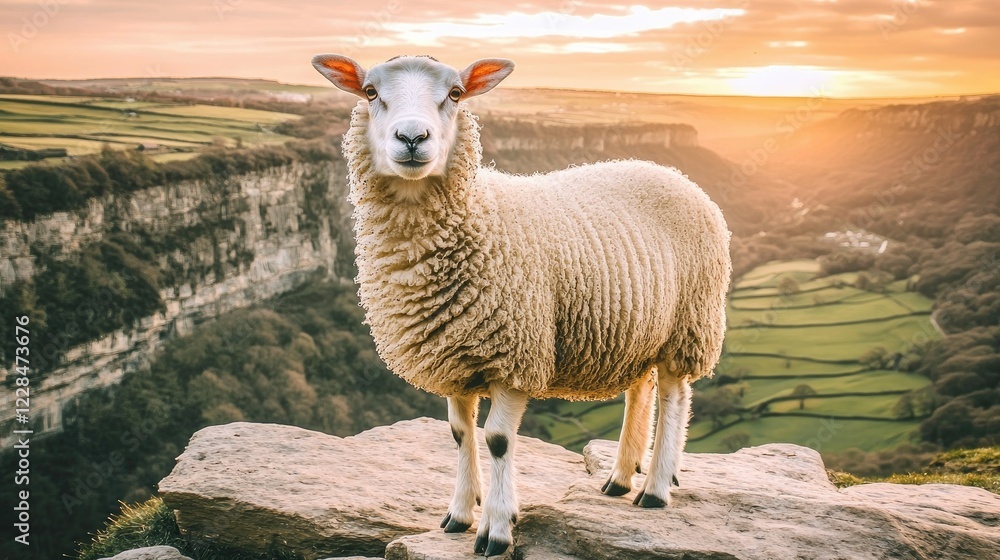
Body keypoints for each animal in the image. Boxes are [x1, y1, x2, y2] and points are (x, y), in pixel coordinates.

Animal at [312, 54, 732, 557]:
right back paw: (621, 476)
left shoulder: (514, 353)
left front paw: (496, 527)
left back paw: (656, 487)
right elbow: (460, 434)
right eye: (371, 92)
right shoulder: (453, 353)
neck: (477, 215)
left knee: (673, 394)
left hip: (688, 321)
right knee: (641, 389)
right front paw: (458, 515)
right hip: (640, 326)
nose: (412, 138)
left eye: (456, 94)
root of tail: (672, 173)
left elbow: (497, 439)